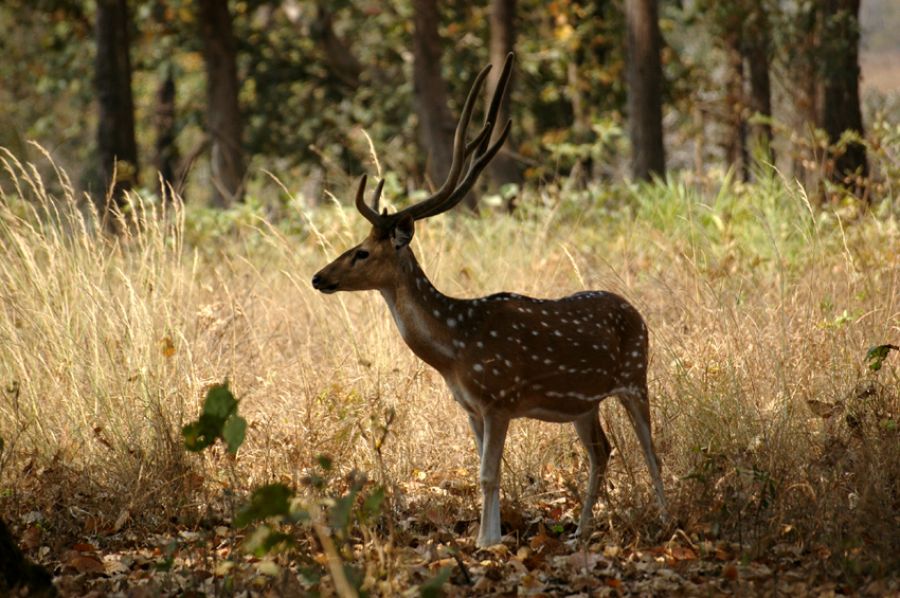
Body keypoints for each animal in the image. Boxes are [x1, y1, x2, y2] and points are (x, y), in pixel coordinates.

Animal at [312, 55, 664, 548]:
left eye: (362, 252)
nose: (319, 277)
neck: (455, 350)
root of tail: (636, 311)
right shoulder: (471, 408)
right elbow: (484, 472)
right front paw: (492, 537)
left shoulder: (500, 397)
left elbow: (488, 474)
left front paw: (485, 543)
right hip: (584, 402)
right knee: (602, 450)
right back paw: (579, 531)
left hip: (635, 375)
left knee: (651, 447)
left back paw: (665, 518)